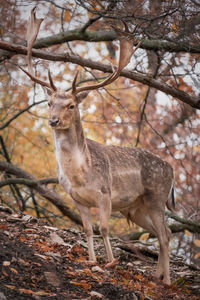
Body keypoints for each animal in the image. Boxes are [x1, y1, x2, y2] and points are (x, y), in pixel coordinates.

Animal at [19, 6, 174, 284]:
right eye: (49, 103)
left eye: (72, 105)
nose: (53, 120)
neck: (81, 174)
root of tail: (172, 170)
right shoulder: (76, 198)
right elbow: (88, 230)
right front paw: (91, 261)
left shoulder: (105, 193)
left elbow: (103, 228)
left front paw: (110, 262)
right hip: (136, 208)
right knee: (161, 234)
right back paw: (157, 277)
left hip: (157, 196)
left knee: (166, 235)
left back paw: (167, 282)